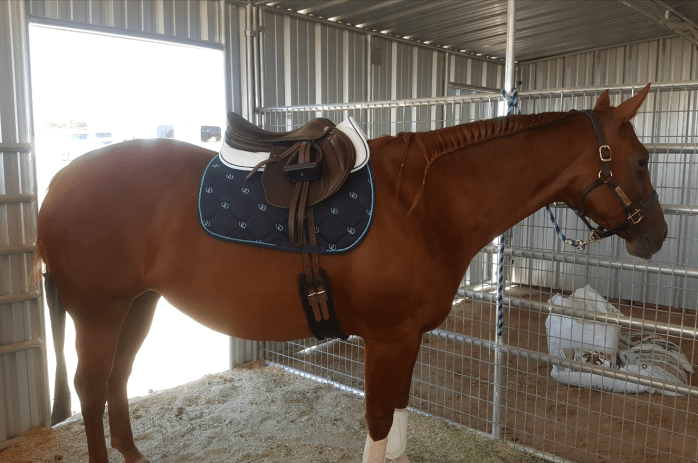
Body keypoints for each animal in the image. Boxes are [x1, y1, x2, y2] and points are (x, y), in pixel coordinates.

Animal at [35, 84, 666, 463]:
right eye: (640, 160)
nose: (657, 236)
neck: (425, 206)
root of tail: (59, 180)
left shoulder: (408, 338)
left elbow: (402, 409)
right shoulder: (386, 339)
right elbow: (380, 416)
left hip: (138, 304)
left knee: (116, 380)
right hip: (98, 312)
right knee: (90, 386)